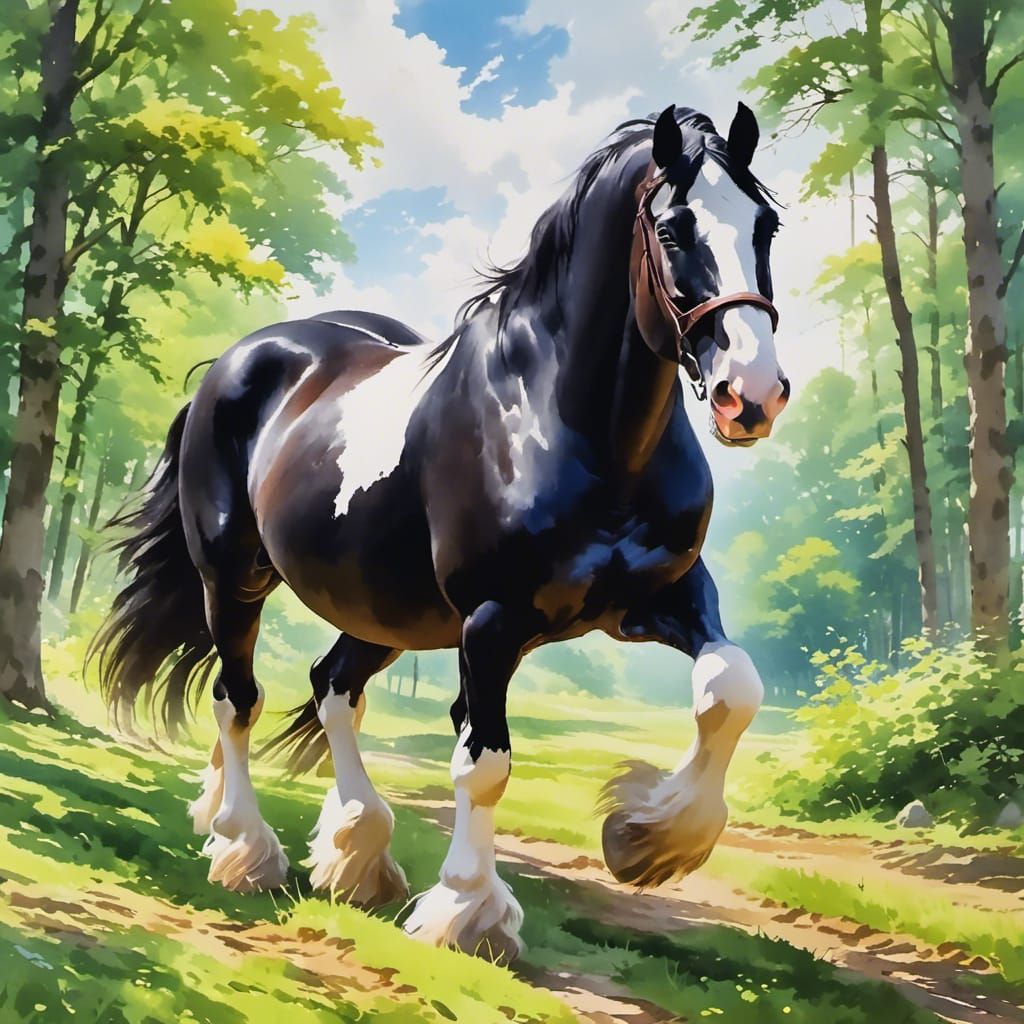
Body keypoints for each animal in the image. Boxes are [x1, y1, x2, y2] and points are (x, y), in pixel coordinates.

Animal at [93, 103, 789, 962]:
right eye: (672, 228)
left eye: (765, 225)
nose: (750, 396)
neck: (571, 425)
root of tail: (233, 365)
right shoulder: (492, 621)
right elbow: (483, 762)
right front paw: (468, 911)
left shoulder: (666, 595)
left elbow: (732, 690)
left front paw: (647, 840)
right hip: (233, 578)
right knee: (238, 700)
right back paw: (246, 848)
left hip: (380, 608)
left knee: (332, 687)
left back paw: (356, 854)